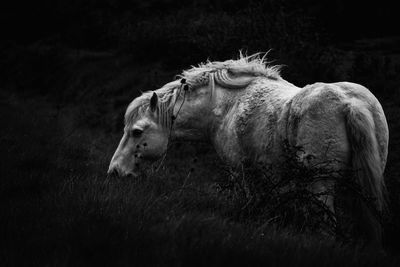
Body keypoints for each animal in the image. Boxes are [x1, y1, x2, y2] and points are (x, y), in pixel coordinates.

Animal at [108, 52, 388, 245]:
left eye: (136, 132)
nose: (115, 171)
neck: (226, 105)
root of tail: (350, 104)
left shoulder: (241, 172)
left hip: (320, 185)